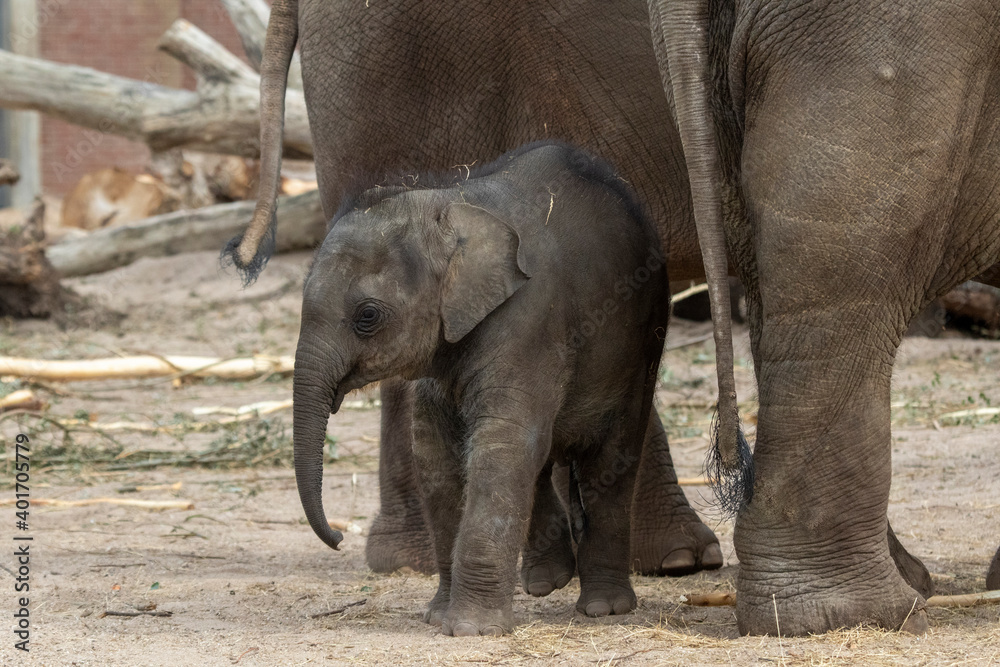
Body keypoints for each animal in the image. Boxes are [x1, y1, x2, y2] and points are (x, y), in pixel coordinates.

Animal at [292, 142, 670, 635]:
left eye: (367, 316)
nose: (338, 537)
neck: (449, 202)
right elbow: (434, 453)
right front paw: (438, 617)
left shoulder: (530, 318)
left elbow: (502, 443)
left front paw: (471, 630)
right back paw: (546, 582)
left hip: (641, 348)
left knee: (609, 461)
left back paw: (603, 608)